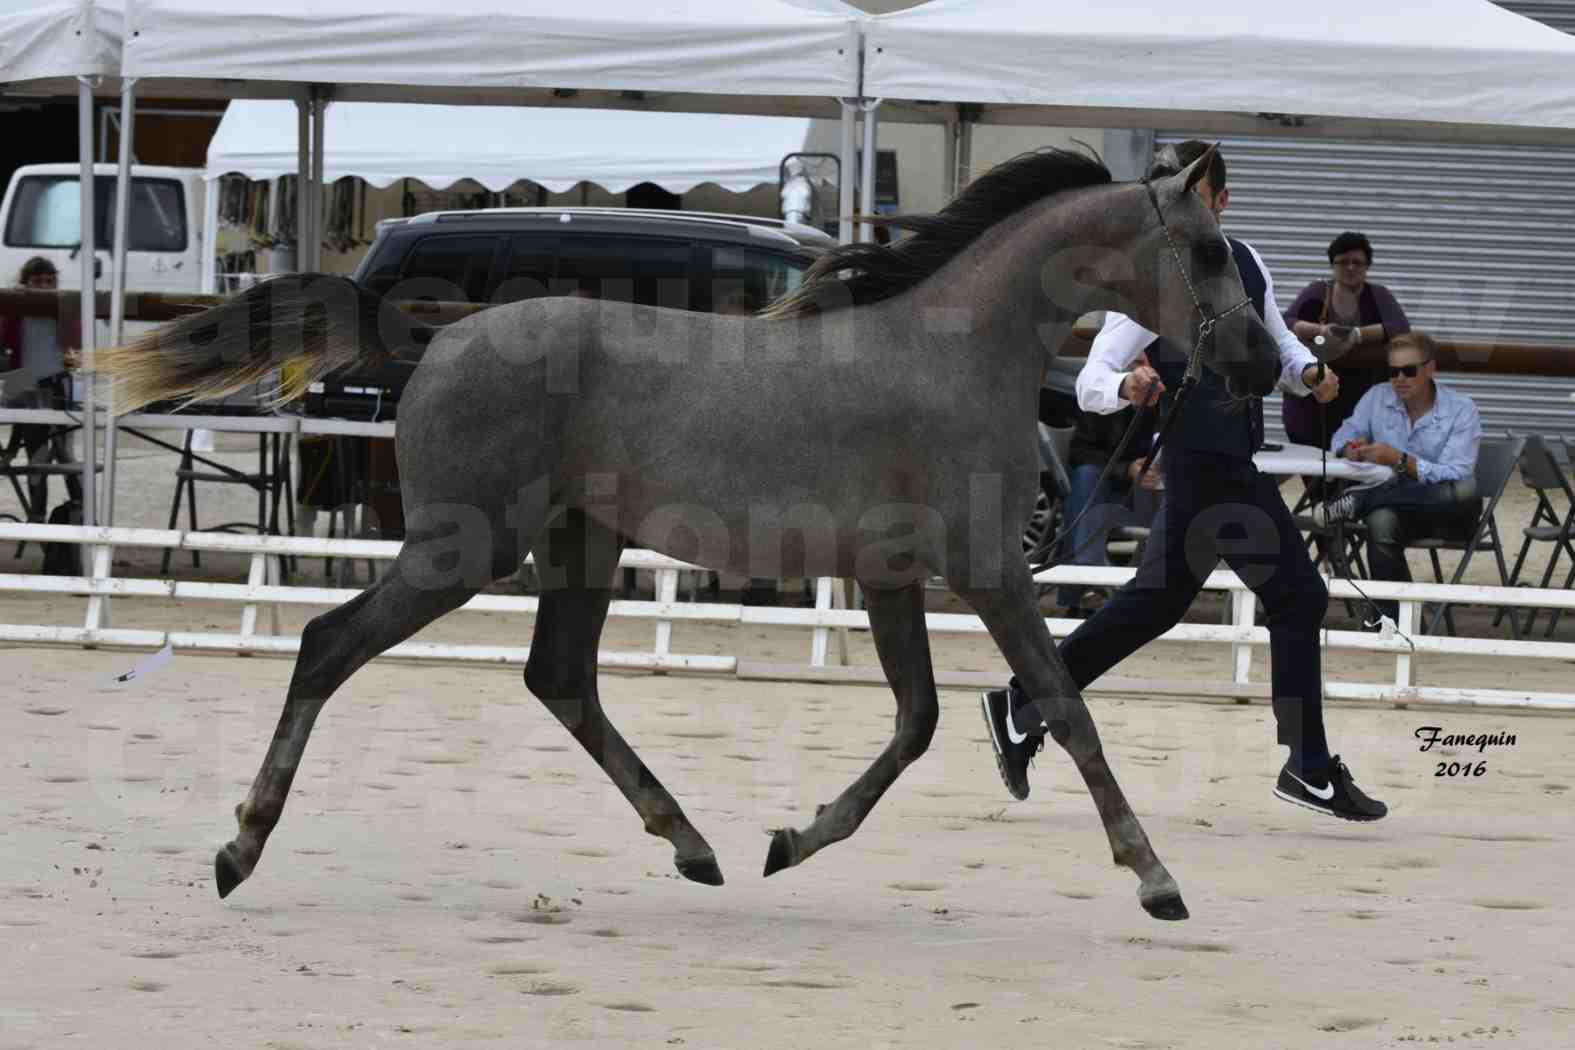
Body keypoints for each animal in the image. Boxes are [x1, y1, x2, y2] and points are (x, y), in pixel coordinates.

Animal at [98, 145, 1278, 919]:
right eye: (1208, 250)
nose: (1264, 364)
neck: (954, 354)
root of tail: (434, 336)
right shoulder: (988, 572)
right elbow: (1066, 709)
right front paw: (1156, 879)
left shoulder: (893, 579)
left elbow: (918, 723)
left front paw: (789, 843)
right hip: (460, 550)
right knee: (326, 645)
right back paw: (240, 848)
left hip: (579, 545)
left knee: (560, 678)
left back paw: (696, 847)